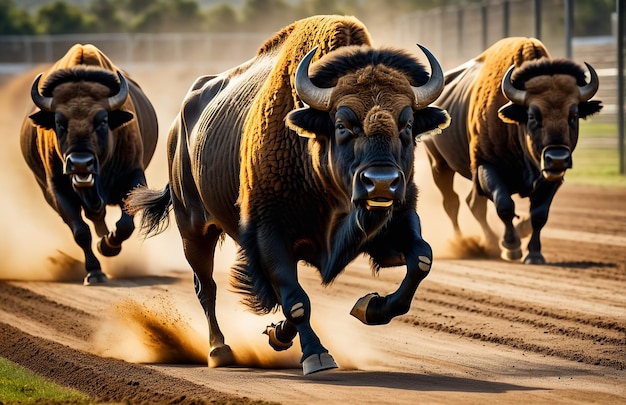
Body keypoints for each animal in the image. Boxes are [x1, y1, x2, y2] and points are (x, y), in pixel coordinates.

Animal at [21, 43, 158, 284]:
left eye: (102, 120)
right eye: (59, 122)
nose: (80, 164)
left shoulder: (133, 175)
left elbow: (125, 223)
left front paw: (107, 246)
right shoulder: (58, 190)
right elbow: (80, 231)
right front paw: (95, 272)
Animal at [125, 15, 448, 376]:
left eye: (407, 125)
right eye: (341, 124)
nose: (381, 183)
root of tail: (177, 128)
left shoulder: (394, 225)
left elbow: (421, 260)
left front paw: (368, 307)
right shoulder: (270, 234)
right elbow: (295, 300)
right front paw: (317, 356)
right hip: (193, 229)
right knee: (205, 286)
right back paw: (220, 351)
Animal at [422, 38, 596, 264]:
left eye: (573, 115)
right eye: (532, 115)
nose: (557, 159)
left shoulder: (552, 179)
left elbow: (539, 215)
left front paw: (534, 254)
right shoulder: (487, 167)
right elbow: (504, 205)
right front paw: (511, 247)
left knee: (473, 204)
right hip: (439, 165)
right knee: (453, 202)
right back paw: (464, 243)